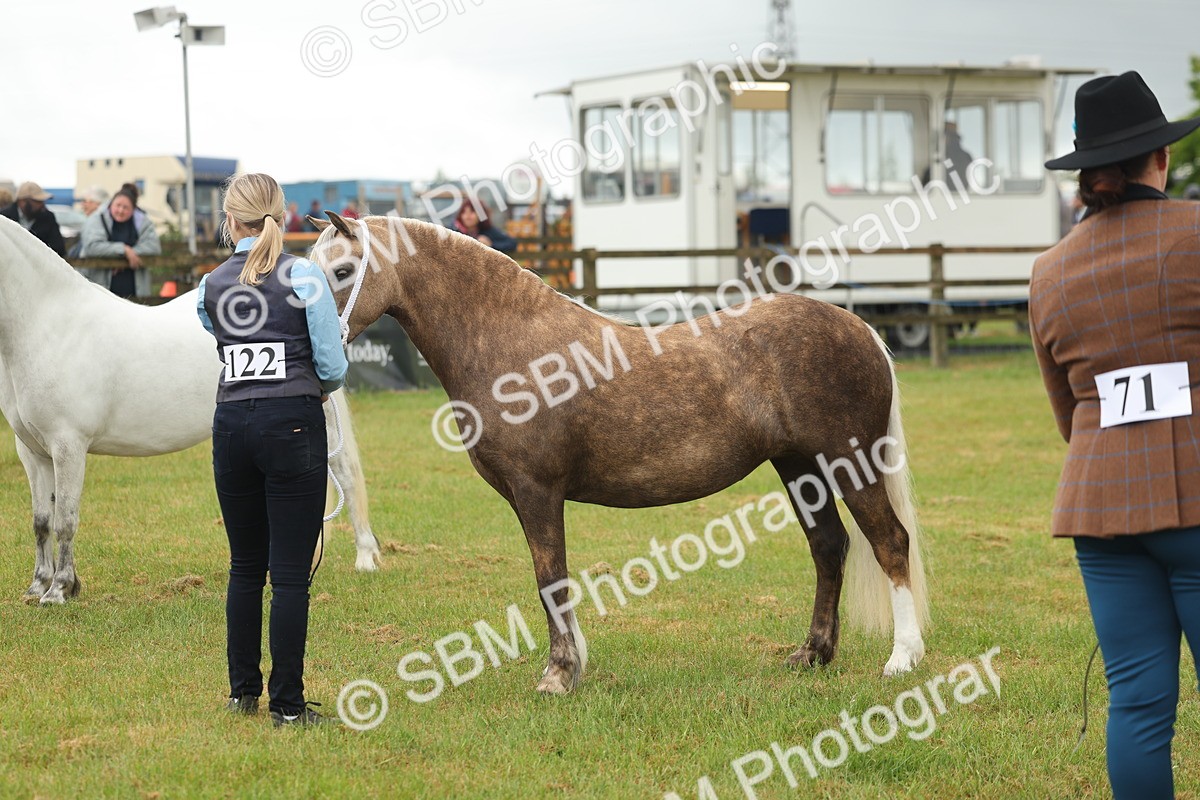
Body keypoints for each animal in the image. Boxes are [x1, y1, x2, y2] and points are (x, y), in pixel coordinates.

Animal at [0, 216, 381, 606]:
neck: (54, 328)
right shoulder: (33, 452)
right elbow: (41, 520)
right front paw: (38, 586)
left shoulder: (69, 447)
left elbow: (66, 519)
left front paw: (59, 590)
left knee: (346, 479)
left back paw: (365, 558)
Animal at [310, 212, 928, 693]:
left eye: (341, 271)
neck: (512, 345)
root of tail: (860, 328)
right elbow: (553, 580)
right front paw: (572, 666)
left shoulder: (537, 491)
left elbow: (550, 577)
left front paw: (559, 675)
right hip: (800, 467)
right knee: (828, 547)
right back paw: (813, 654)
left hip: (850, 463)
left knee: (889, 543)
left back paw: (902, 659)